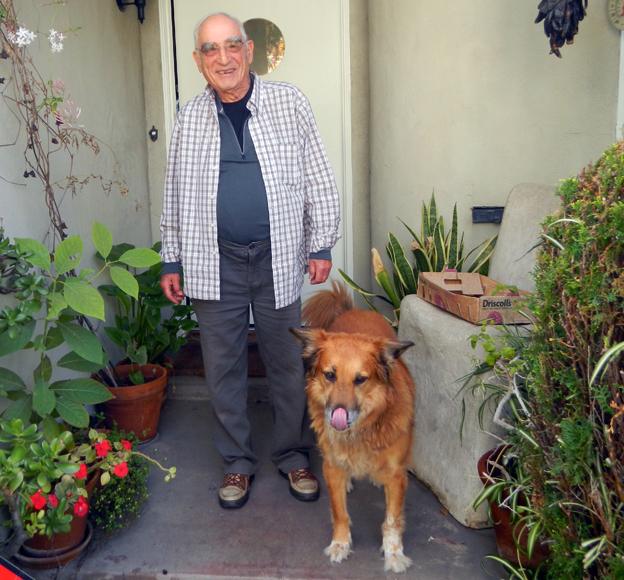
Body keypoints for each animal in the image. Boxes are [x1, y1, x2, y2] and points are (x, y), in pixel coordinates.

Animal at [292, 284, 414, 572]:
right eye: (330, 375)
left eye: (361, 379)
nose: (337, 415)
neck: (362, 431)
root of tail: (352, 310)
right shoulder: (333, 468)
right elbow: (340, 513)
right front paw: (340, 544)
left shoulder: (397, 475)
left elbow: (392, 520)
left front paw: (394, 554)